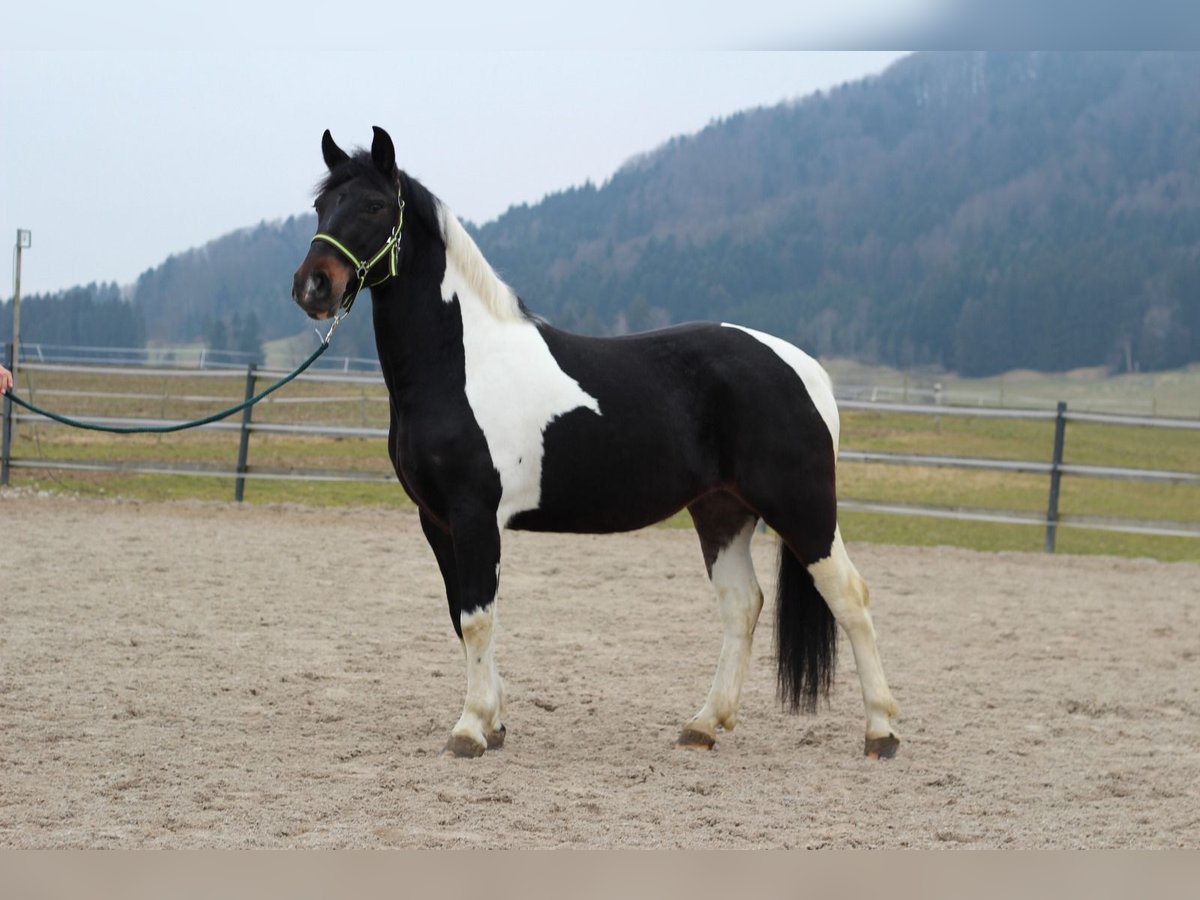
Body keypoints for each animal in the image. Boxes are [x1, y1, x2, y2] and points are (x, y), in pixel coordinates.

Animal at [292, 128, 902, 763]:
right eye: (321, 205)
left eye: (373, 205)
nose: (314, 285)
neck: (461, 364)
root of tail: (807, 371)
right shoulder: (436, 520)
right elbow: (462, 616)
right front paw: (495, 723)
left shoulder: (474, 513)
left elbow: (479, 617)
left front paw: (470, 727)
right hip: (722, 511)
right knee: (743, 604)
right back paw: (704, 725)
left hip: (801, 507)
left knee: (850, 596)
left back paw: (880, 731)